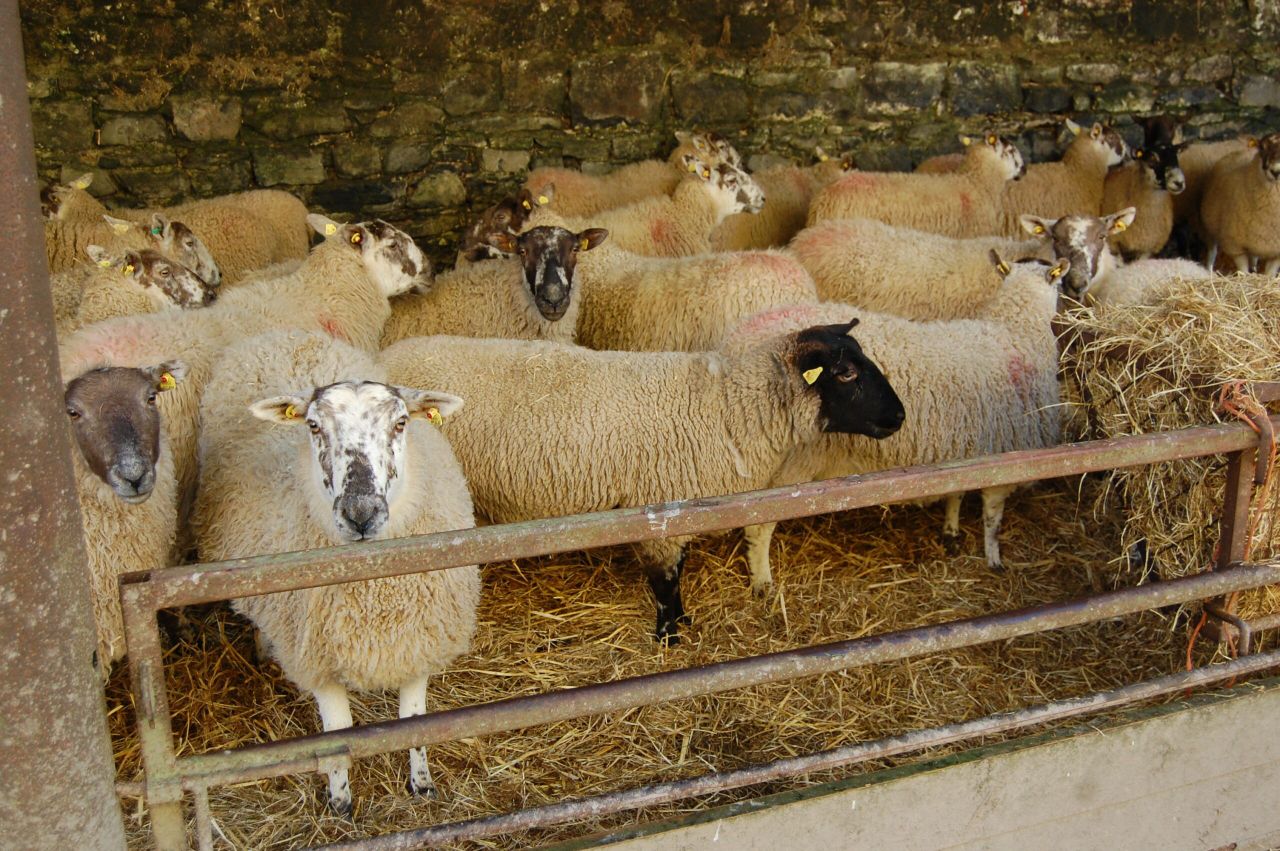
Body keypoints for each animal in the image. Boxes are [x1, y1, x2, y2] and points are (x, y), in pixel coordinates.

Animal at [194, 329, 479, 814]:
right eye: (312, 426)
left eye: (401, 423)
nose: (360, 513)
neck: (372, 593)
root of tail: (286, 332)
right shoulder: (318, 658)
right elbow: (338, 731)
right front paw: (341, 799)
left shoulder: (418, 639)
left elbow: (414, 719)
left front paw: (421, 783)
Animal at [380, 326, 904, 644]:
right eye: (846, 372)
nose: (899, 417)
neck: (728, 409)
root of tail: (385, 357)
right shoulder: (659, 510)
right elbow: (666, 581)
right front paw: (670, 635)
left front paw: (682, 623)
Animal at [730, 254, 1068, 591]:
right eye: (1062, 284)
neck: (1016, 332)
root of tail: (738, 341)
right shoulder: (1007, 458)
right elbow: (992, 519)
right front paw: (994, 560)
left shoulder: (963, 449)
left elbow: (956, 491)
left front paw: (951, 532)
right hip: (790, 465)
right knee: (758, 525)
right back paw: (763, 582)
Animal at [1200, 132, 1280, 274]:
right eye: (1262, 147)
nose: (1276, 171)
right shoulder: (1234, 245)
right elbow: (1243, 271)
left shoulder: (1276, 251)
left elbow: (1270, 274)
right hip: (1210, 225)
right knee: (1212, 251)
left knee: (1254, 256)